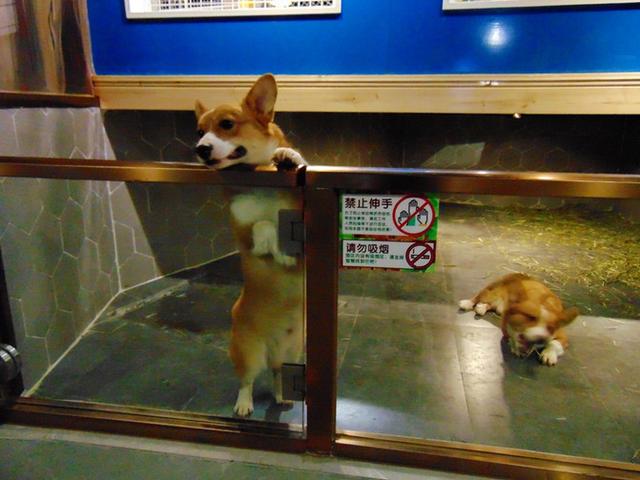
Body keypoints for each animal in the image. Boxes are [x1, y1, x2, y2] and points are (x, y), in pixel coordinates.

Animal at [194, 73, 306, 414]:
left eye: (227, 124)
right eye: (199, 131)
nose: (200, 149)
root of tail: (272, 348)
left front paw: (288, 157)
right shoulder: (244, 234)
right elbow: (264, 224)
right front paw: (280, 251)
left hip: (293, 352)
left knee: (279, 374)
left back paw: (283, 396)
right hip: (247, 352)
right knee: (247, 380)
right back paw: (243, 404)